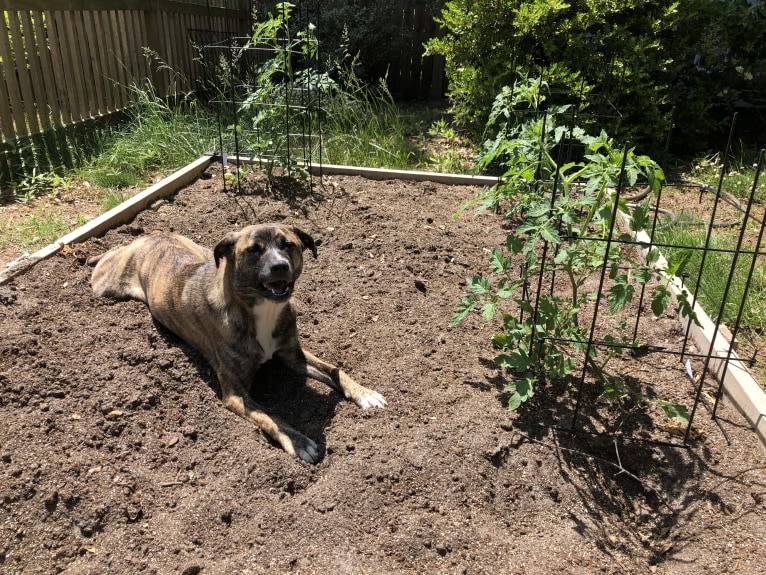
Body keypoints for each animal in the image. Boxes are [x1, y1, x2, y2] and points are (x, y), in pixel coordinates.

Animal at [90, 224, 388, 464]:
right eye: (254, 251)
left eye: (287, 245)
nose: (280, 266)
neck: (261, 309)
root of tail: (149, 236)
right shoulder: (235, 394)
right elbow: (270, 417)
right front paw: (299, 441)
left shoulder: (293, 355)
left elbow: (336, 370)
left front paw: (364, 393)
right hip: (105, 285)